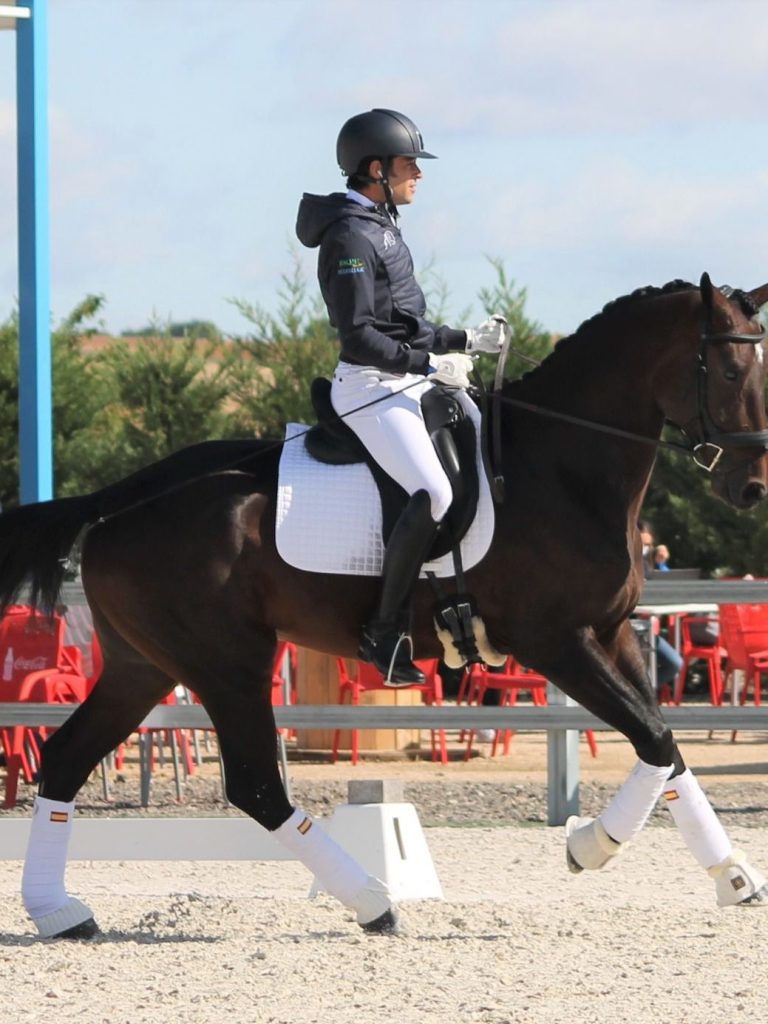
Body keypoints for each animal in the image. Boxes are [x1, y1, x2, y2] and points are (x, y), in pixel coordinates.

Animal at [1, 270, 768, 937]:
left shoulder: (612, 633)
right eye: (732, 372)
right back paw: (374, 901)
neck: (562, 467)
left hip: (145, 665)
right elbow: (655, 737)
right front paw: (593, 844)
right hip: (229, 664)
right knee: (256, 786)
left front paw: (729, 874)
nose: (753, 488)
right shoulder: (557, 640)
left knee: (65, 759)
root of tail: (122, 500)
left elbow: (664, 744)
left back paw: (59, 913)